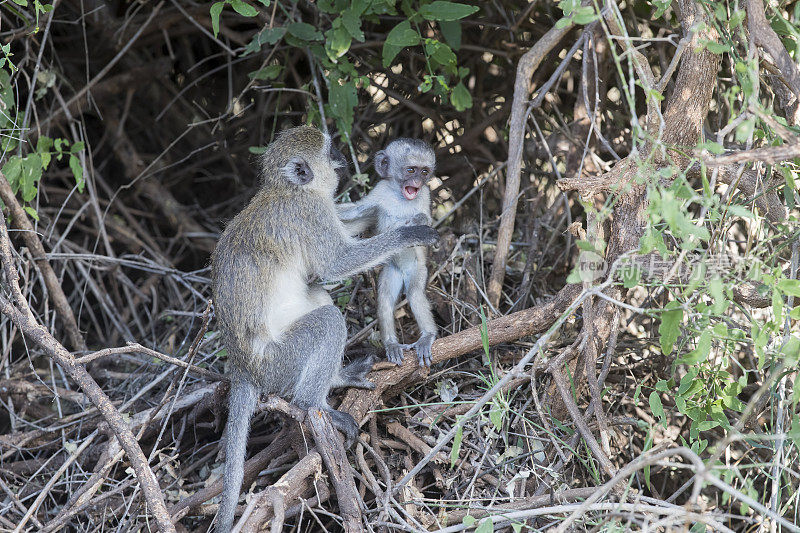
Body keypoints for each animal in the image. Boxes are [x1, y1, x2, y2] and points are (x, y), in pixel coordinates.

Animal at [336, 138, 440, 366]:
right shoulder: (380, 190)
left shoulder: (425, 194)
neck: (400, 196)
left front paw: (418, 223)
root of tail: (402, 273)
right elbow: (356, 210)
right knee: (384, 299)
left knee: (414, 293)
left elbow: (427, 219)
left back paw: (427, 335)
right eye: (411, 170)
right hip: (391, 272)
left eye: (425, 172)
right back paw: (391, 343)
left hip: (417, 270)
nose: (417, 183)